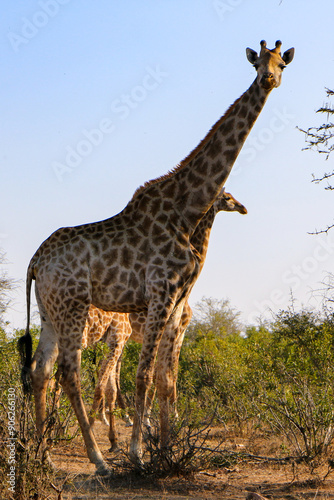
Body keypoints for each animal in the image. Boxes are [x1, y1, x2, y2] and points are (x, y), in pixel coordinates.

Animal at [19, 40, 294, 472]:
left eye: (282, 62)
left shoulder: (176, 301)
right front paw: (139, 455)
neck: (186, 210)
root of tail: (34, 262)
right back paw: (98, 459)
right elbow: (144, 376)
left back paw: (45, 457)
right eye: (257, 63)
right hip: (74, 305)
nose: (269, 79)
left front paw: (166, 450)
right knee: (70, 372)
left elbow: (165, 380)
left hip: (50, 310)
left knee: (41, 371)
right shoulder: (161, 294)